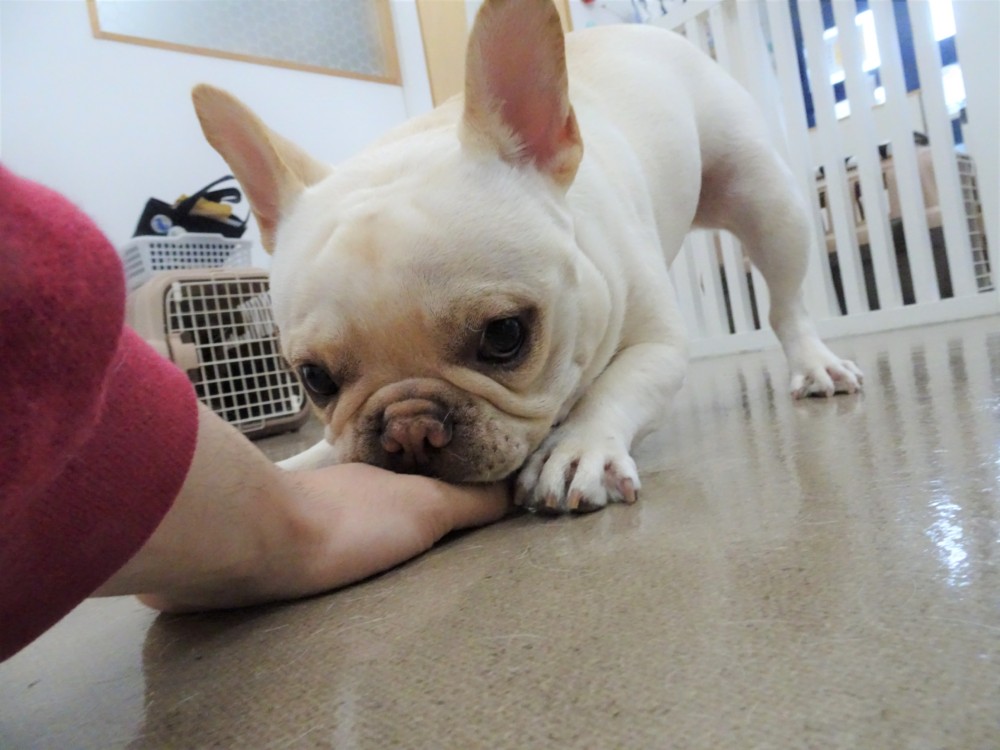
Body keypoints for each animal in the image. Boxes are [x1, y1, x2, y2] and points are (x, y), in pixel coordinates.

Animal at [192, 0, 862, 513]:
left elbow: (615, 387)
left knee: (787, 304)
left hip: (767, 200)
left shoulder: (658, 347)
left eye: (504, 336)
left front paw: (576, 448)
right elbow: (326, 449)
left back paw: (817, 365)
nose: (409, 429)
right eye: (315, 379)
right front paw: (292, 466)